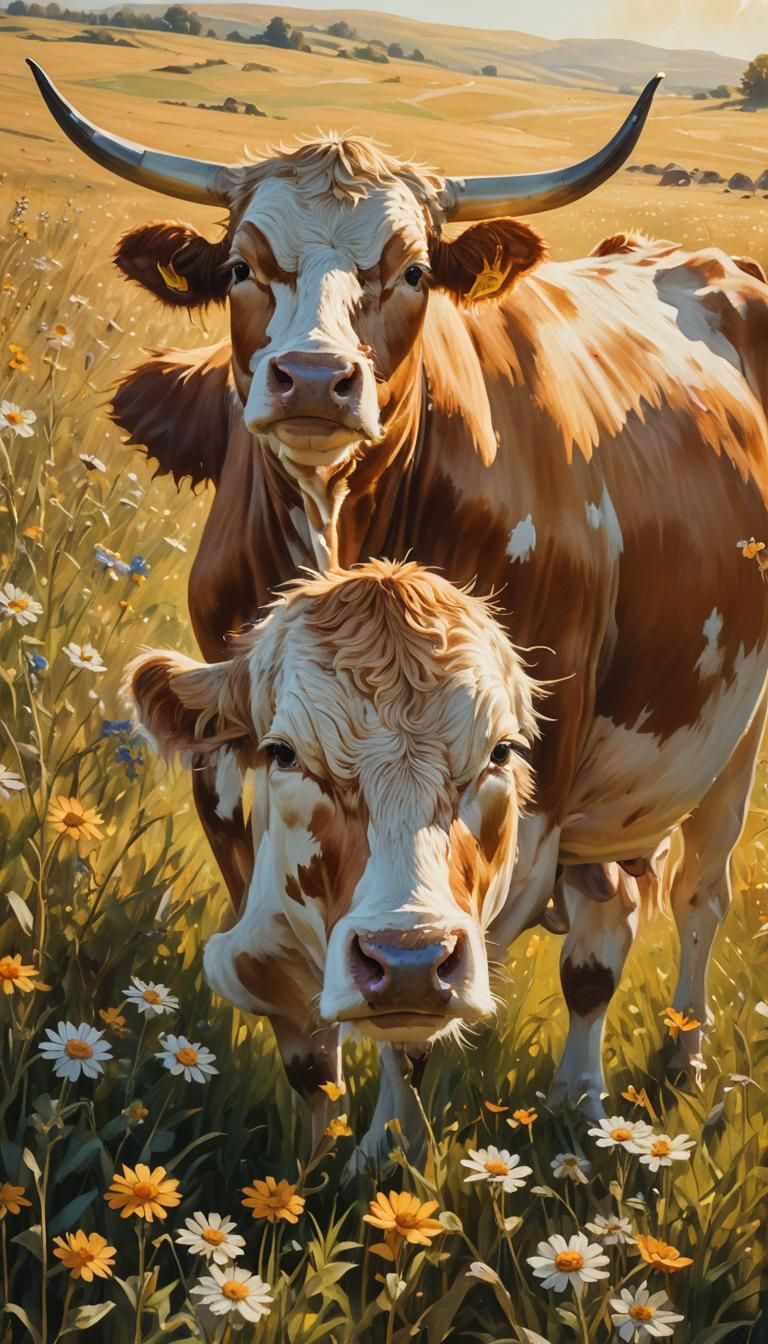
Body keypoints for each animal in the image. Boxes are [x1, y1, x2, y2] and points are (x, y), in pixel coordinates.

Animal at [30, 62, 768, 1143]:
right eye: (243, 266)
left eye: (412, 272)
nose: (312, 379)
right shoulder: (225, 759)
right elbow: (297, 996)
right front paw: (315, 1141)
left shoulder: (527, 784)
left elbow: (418, 1014)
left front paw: (386, 1155)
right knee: (606, 917)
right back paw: (579, 1098)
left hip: (730, 744)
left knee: (693, 897)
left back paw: (676, 1057)